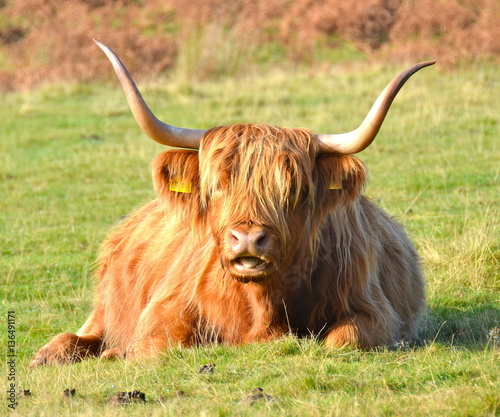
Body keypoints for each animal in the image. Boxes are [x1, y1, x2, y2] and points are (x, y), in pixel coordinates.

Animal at [29, 39, 434, 364]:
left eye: (294, 189)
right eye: (219, 184)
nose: (249, 239)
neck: (261, 302)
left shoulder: (375, 311)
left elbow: (344, 339)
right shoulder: (164, 308)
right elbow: (159, 344)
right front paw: (118, 353)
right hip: (103, 307)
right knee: (77, 335)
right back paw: (48, 355)